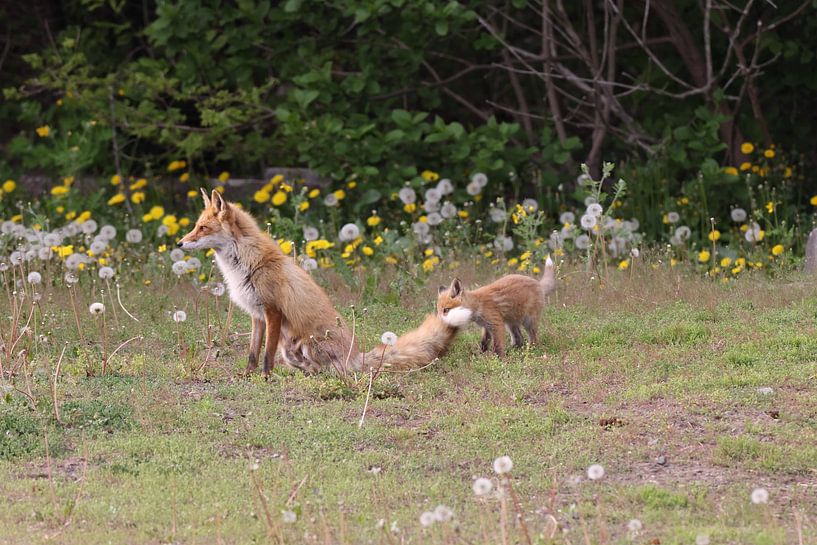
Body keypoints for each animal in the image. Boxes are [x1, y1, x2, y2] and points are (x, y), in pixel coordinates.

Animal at [178, 189, 471, 375]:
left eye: (203, 228)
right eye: (195, 226)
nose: (179, 243)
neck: (245, 265)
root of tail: (355, 356)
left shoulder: (273, 311)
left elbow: (266, 355)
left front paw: (265, 378)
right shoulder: (257, 315)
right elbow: (252, 353)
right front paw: (247, 377)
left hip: (309, 343)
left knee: (330, 370)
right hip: (291, 349)